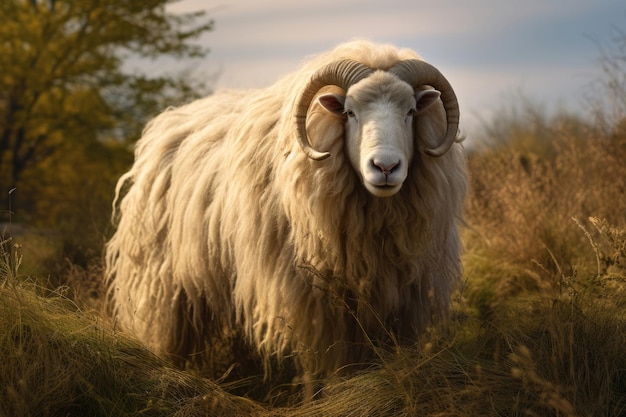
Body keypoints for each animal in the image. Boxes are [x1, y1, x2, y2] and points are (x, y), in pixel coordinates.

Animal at [105, 39, 466, 386]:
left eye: (411, 111)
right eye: (349, 112)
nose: (386, 167)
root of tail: (169, 119)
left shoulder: (401, 303)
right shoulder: (316, 308)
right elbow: (331, 368)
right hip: (165, 287)